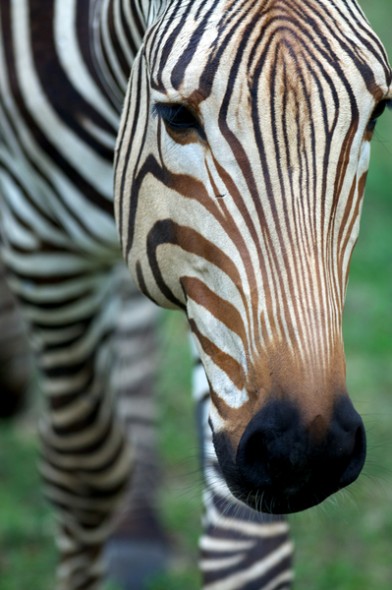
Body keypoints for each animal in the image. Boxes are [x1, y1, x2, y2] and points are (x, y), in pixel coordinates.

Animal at [0, 1, 390, 590]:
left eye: (377, 114)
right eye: (175, 117)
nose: (307, 452)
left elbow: (246, 549)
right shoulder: (42, 243)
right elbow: (83, 475)